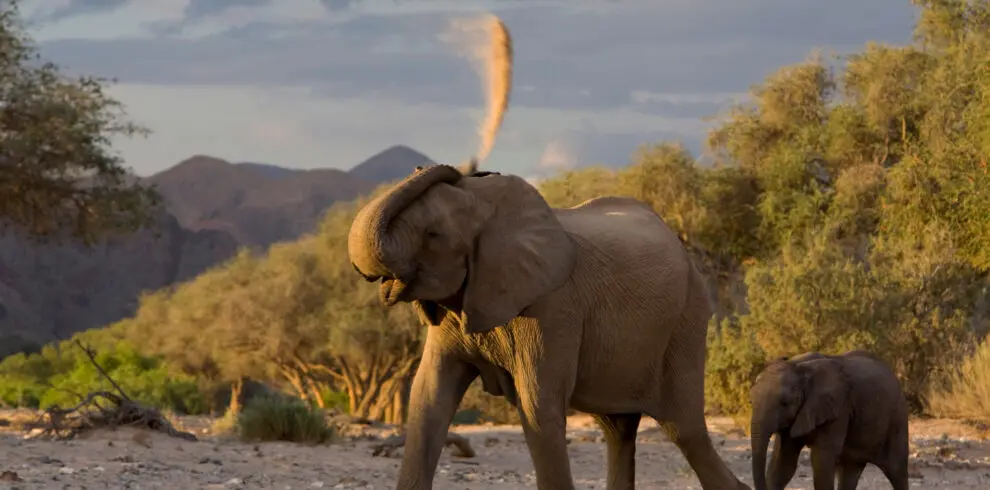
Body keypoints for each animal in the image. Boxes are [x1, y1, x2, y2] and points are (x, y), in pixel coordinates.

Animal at [347, 163, 750, 490]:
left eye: (434, 235)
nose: (433, 167)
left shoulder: (554, 307)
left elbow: (539, 406)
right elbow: (428, 398)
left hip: (686, 320)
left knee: (685, 429)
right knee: (619, 429)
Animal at [749, 349, 910, 490]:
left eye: (784, 403)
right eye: (751, 401)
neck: (800, 368)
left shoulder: (838, 409)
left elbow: (822, 460)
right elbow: (783, 465)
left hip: (897, 417)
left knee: (897, 471)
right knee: (849, 470)